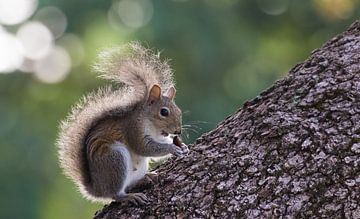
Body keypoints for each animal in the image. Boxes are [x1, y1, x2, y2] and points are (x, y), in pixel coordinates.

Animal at [56, 43, 188, 205]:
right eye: (164, 112)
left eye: (179, 111)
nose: (178, 131)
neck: (150, 124)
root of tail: (97, 189)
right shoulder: (132, 129)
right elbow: (144, 148)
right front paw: (172, 148)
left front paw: (182, 146)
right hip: (114, 159)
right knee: (115, 194)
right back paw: (129, 196)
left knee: (130, 184)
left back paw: (146, 178)